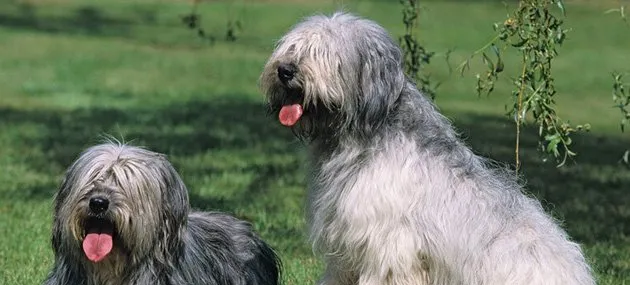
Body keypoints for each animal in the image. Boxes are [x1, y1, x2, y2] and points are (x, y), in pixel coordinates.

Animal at [260, 11, 596, 284]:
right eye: (292, 47)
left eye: (323, 53)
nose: (285, 70)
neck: (365, 132)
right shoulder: (346, 247)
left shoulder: (389, 245)